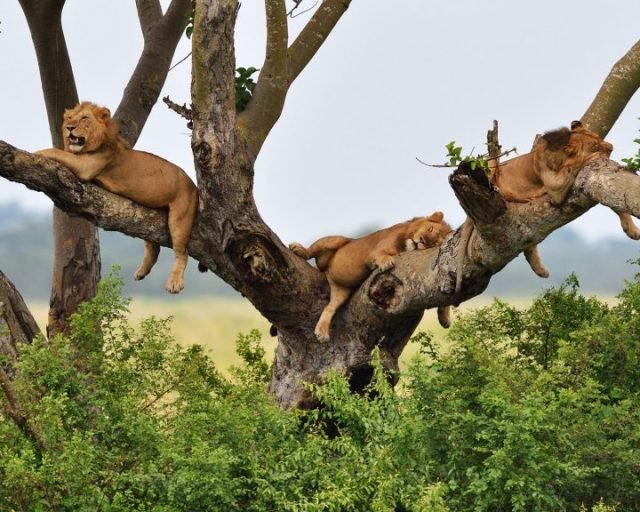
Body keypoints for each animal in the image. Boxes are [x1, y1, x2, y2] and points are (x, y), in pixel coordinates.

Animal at [36, 102, 198, 294]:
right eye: (69, 118)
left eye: (84, 118)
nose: (69, 127)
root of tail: (193, 185)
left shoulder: (86, 166)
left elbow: (59, 152)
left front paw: (38, 151)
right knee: (153, 247)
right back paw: (141, 272)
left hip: (180, 217)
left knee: (182, 252)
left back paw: (174, 283)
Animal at [290, 211, 453, 342]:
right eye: (430, 228)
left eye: (434, 243)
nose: (422, 241)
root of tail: (327, 273)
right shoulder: (375, 251)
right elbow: (381, 254)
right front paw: (386, 262)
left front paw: (445, 318)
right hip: (336, 241)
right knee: (312, 250)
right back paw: (299, 250)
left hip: (341, 292)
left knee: (329, 308)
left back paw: (321, 332)